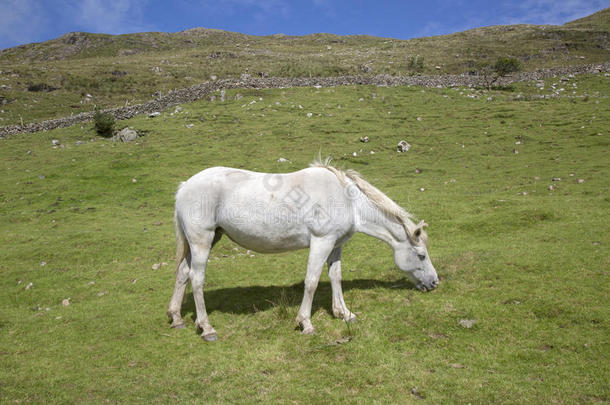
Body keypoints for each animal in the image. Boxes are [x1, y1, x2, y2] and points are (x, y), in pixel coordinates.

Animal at [166, 156, 436, 340]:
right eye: (421, 255)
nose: (434, 283)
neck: (348, 200)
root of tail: (184, 186)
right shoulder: (321, 241)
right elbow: (312, 281)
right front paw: (305, 323)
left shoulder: (335, 245)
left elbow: (335, 277)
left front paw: (344, 313)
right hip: (202, 241)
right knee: (196, 278)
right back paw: (207, 328)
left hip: (206, 240)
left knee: (182, 274)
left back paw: (177, 318)